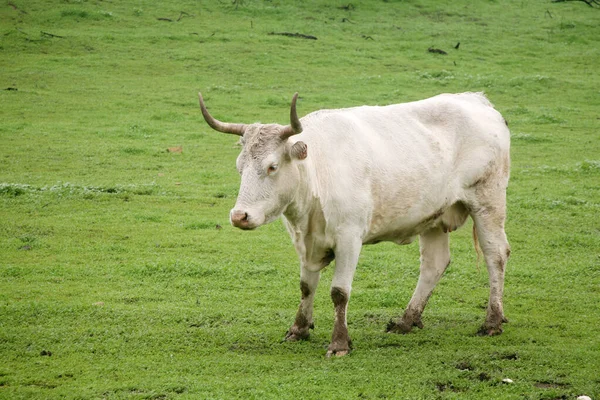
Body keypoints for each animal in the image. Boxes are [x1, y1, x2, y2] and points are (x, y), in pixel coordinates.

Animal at [198, 92, 510, 358]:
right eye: (240, 167)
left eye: (272, 166)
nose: (239, 216)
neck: (317, 172)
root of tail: (476, 100)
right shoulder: (305, 241)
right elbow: (306, 286)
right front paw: (299, 329)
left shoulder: (349, 238)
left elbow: (339, 292)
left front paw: (339, 343)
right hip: (433, 215)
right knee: (434, 264)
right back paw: (406, 321)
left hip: (488, 201)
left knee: (496, 254)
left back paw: (492, 321)